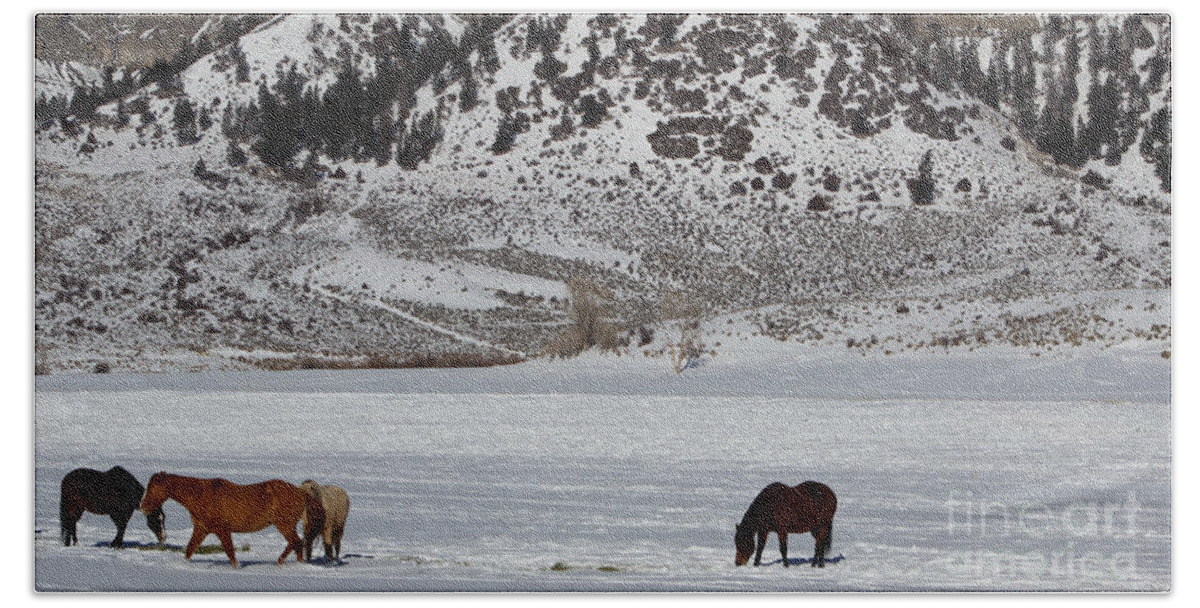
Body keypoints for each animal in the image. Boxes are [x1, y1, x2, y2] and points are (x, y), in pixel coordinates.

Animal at [139, 472, 324, 568]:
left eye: (153, 488)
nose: (142, 506)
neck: (200, 496)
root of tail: (301, 493)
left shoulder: (222, 530)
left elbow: (230, 551)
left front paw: (237, 567)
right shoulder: (201, 529)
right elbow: (190, 549)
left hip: (284, 524)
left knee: (296, 542)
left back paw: (283, 563)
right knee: (297, 544)